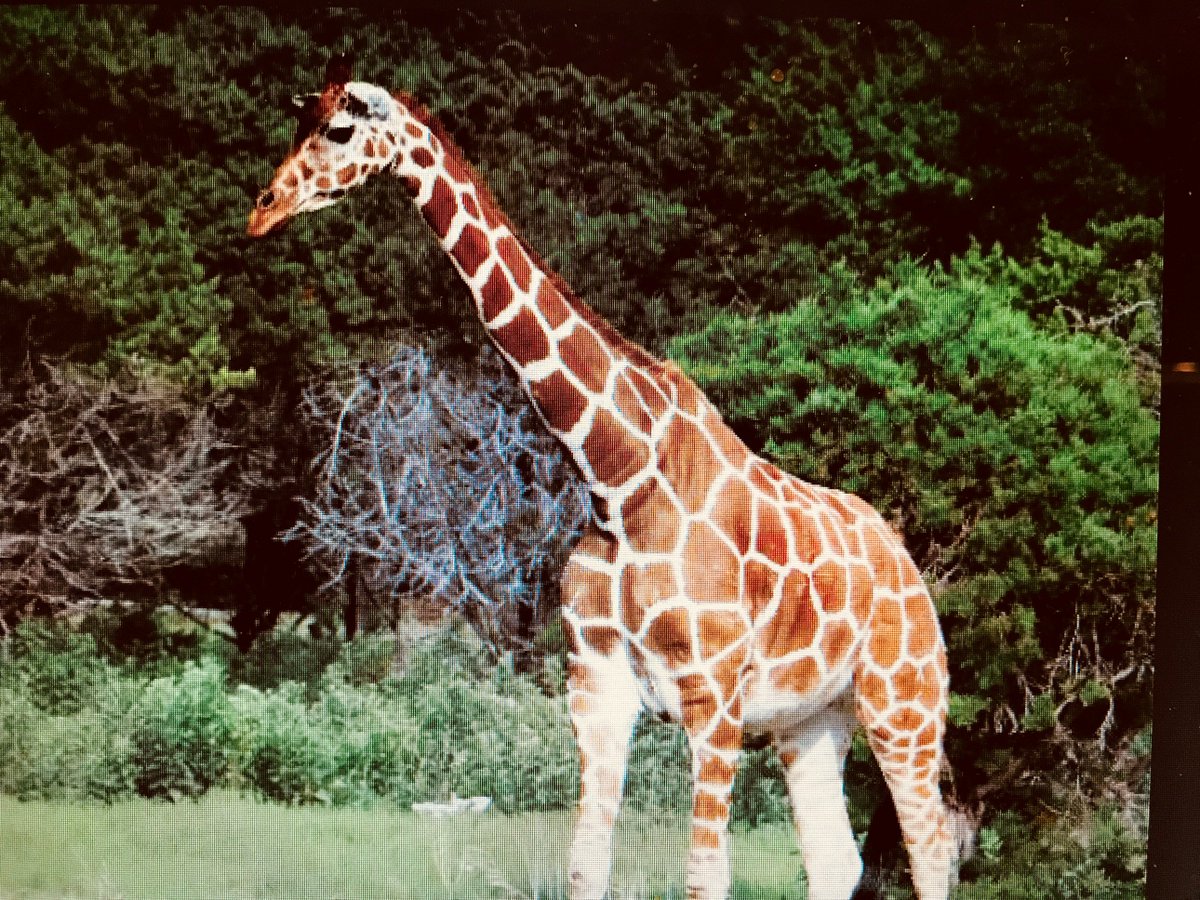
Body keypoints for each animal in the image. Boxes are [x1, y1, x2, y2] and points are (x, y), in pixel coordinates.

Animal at [247, 57, 959, 900]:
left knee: (931, 847)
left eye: (338, 130)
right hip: (811, 719)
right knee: (836, 859)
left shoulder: (713, 698)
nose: (261, 210)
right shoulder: (595, 690)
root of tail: (907, 564)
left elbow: (704, 875)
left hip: (905, 702)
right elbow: (587, 862)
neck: (617, 478)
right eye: (297, 123)